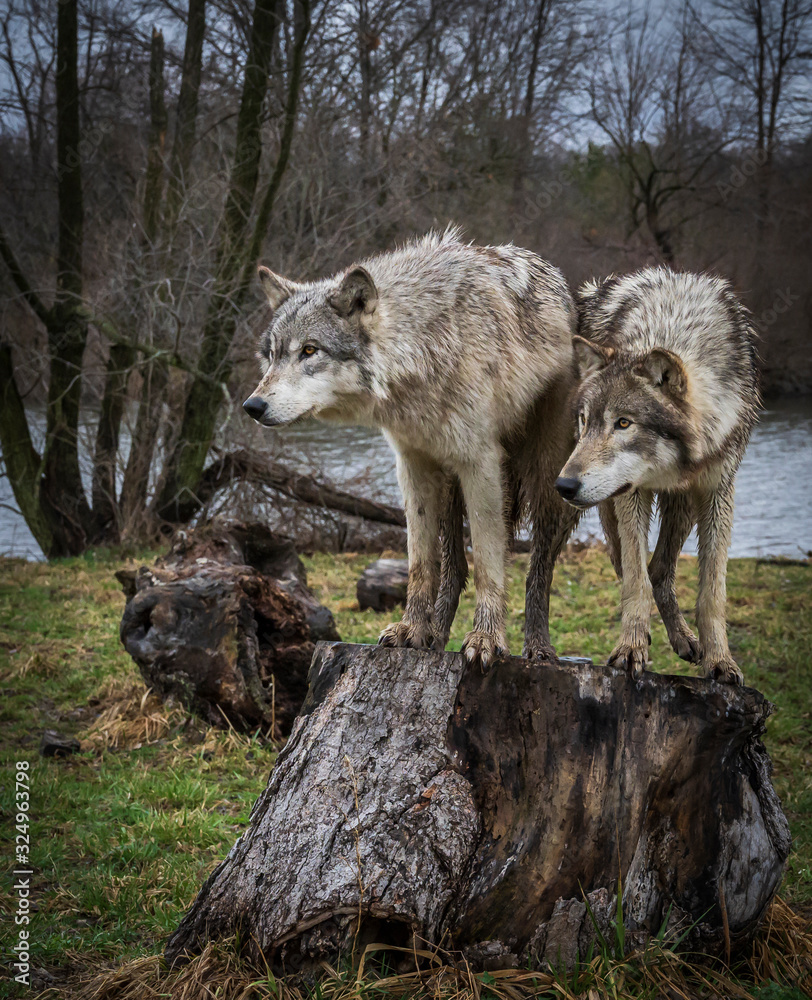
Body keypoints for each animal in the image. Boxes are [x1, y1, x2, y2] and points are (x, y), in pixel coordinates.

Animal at [241, 227, 576, 664]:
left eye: (310, 350)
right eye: (272, 355)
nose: (252, 406)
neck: (423, 346)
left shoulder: (481, 464)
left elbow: (490, 564)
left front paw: (486, 639)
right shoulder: (412, 465)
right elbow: (420, 564)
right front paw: (412, 631)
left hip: (547, 484)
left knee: (539, 570)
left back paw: (538, 649)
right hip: (449, 485)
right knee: (453, 569)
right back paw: (436, 637)